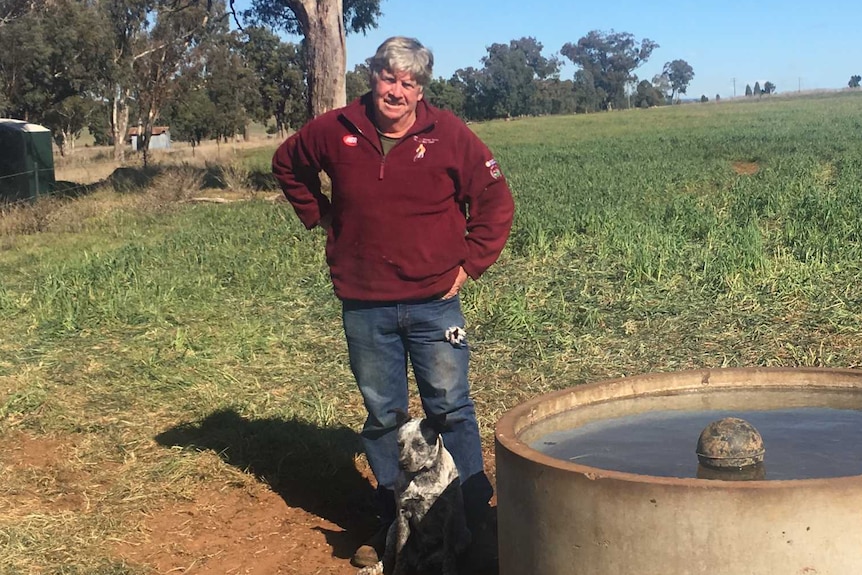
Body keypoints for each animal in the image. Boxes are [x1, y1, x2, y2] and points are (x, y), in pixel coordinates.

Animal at [358, 412, 472, 572]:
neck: (422, 476)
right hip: (393, 528)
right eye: (400, 444)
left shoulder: (447, 515)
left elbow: (448, 554)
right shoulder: (402, 513)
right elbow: (400, 551)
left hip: (463, 538)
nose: (402, 464)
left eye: (419, 444)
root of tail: (419, 559)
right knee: (387, 557)